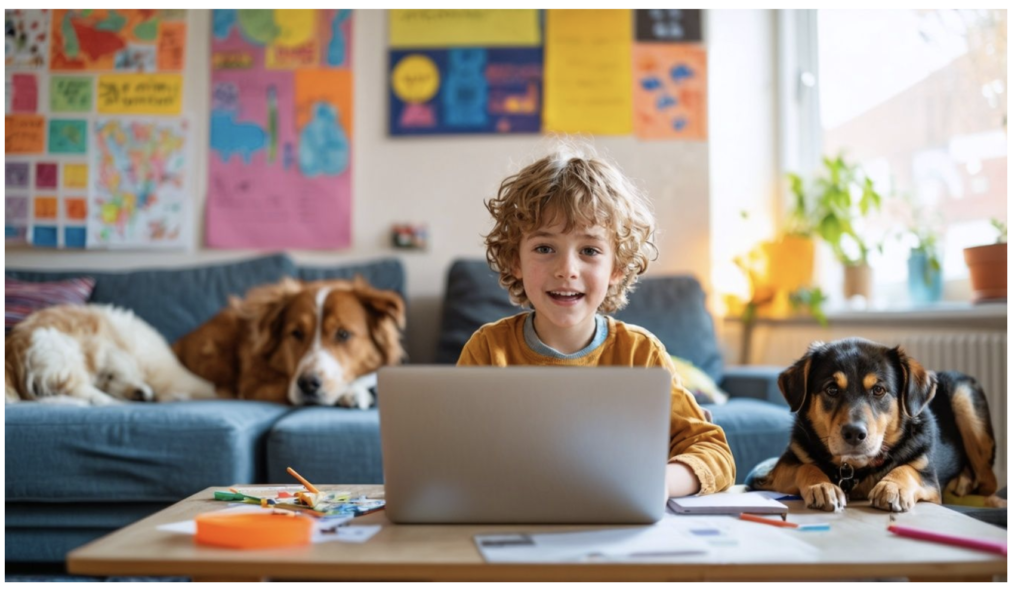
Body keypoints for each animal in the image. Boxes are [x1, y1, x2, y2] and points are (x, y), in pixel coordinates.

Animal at [753, 337, 999, 516]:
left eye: (879, 390)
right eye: (831, 389)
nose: (854, 433)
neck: (854, 469)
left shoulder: (928, 478)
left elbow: (907, 468)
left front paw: (893, 487)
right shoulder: (778, 471)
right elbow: (806, 466)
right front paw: (822, 486)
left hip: (964, 397)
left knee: (989, 483)